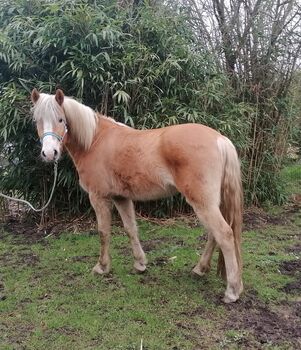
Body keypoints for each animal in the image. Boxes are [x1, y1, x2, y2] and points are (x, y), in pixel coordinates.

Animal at [30, 88, 243, 304]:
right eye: (37, 120)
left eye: (61, 119)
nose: (49, 153)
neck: (95, 141)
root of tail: (220, 139)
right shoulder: (121, 198)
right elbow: (130, 228)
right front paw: (140, 264)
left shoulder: (99, 197)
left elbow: (103, 232)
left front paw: (102, 267)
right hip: (210, 203)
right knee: (214, 234)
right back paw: (200, 269)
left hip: (202, 203)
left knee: (224, 234)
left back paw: (232, 291)